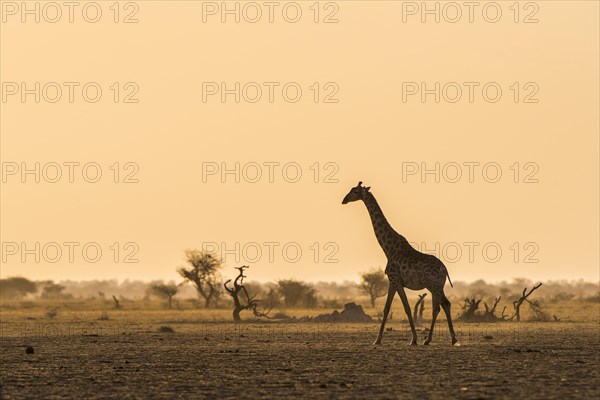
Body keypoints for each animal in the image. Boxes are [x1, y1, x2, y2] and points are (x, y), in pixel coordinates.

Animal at [344, 183, 458, 346]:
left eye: (354, 191)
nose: (344, 200)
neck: (388, 248)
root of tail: (444, 269)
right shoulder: (394, 282)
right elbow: (388, 309)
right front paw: (381, 339)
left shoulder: (394, 280)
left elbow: (405, 308)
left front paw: (409, 339)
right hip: (436, 286)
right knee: (437, 308)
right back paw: (427, 340)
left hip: (434, 286)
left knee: (445, 304)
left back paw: (453, 339)